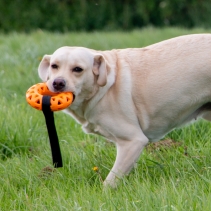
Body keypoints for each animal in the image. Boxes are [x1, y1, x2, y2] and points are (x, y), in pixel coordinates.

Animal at [38, 33, 211, 187]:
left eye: (78, 69)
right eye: (54, 66)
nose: (57, 83)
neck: (104, 87)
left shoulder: (133, 142)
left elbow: (110, 182)